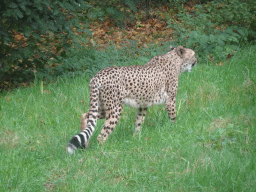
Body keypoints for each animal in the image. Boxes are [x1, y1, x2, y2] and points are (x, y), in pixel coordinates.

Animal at [67, 45, 197, 154]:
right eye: (193, 54)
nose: (197, 60)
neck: (174, 60)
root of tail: (98, 75)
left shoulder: (143, 104)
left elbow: (139, 121)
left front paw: (135, 138)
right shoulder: (170, 100)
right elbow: (173, 117)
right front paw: (175, 129)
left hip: (103, 106)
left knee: (86, 115)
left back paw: (85, 146)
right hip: (115, 109)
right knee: (101, 135)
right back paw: (105, 151)